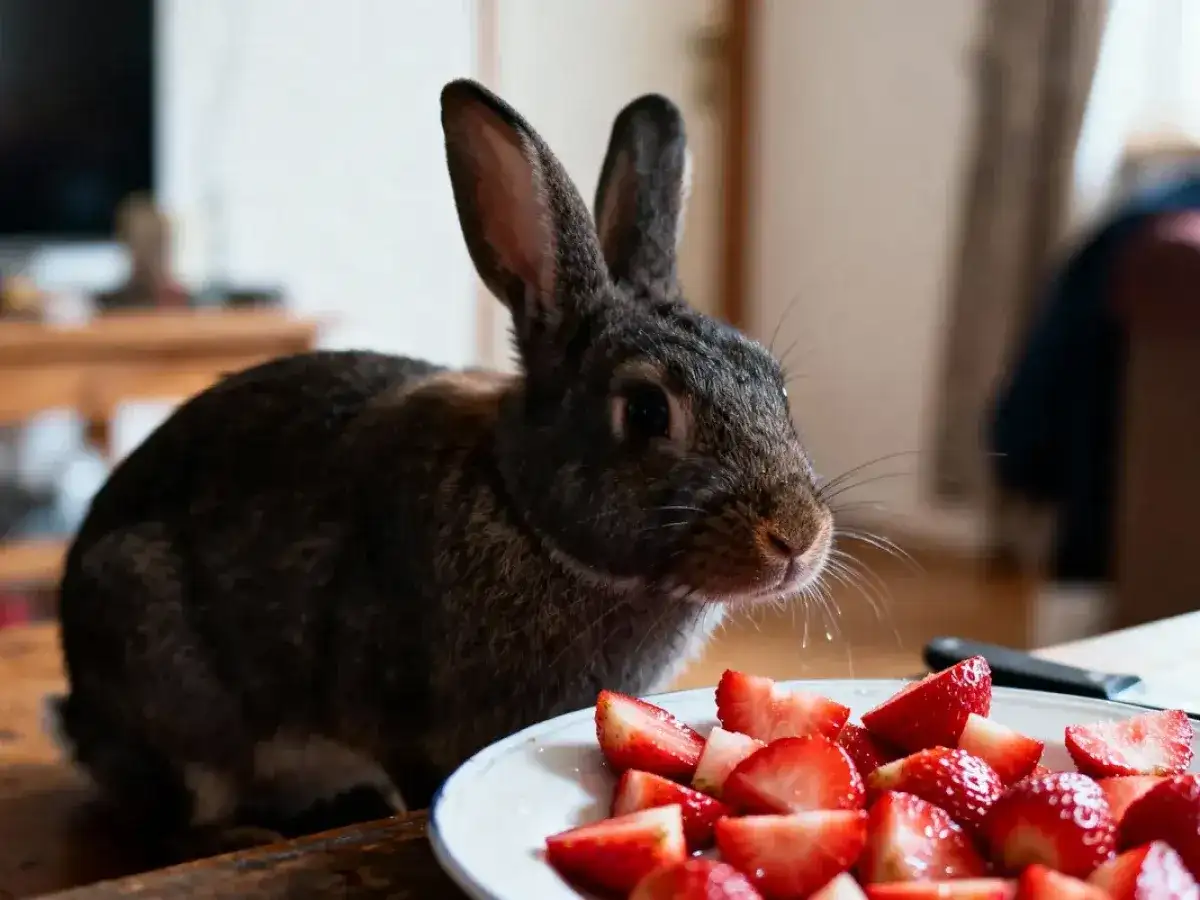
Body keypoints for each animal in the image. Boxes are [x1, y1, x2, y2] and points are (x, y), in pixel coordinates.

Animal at [50, 78, 834, 857]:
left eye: (776, 384)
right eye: (645, 411)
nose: (796, 538)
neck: (525, 514)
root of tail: (77, 719)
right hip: (157, 654)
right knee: (181, 803)